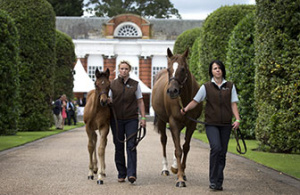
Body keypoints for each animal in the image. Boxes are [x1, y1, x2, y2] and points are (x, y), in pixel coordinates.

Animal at [152, 47, 202, 187]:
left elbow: (185, 147)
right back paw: (165, 169)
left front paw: (182, 173)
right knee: (164, 140)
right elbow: (178, 150)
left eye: (183, 69)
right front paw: (179, 178)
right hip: (162, 121)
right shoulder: (173, 122)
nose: (172, 91)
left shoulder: (192, 124)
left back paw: (175, 167)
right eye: (169, 69)